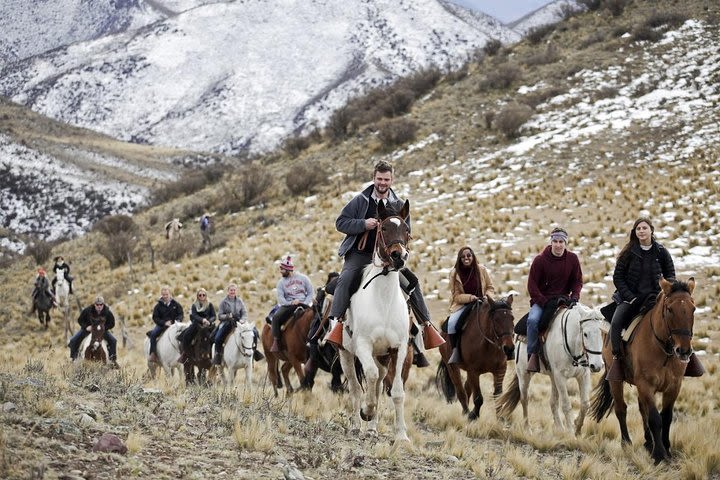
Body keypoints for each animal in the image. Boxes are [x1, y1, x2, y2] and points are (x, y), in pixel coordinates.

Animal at [338, 200, 410, 446]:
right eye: (384, 228)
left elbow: (396, 392)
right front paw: (366, 411)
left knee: (378, 385)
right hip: (346, 354)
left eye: (406, 229)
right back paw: (357, 425)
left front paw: (402, 435)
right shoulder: (362, 346)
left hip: (382, 357)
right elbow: (368, 376)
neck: (383, 302)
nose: (399, 256)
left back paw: (371, 429)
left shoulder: (399, 349)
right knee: (356, 387)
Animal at [436, 294, 516, 422]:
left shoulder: (500, 370)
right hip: (452, 368)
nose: (509, 349)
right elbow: (478, 398)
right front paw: (473, 416)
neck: (487, 344)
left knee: (466, 388)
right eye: (496, 319)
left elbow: (498, 395)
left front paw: (500, 418)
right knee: (460, 391)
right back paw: (466, 412)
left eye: (512, 318)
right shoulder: (474, 371)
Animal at [498, 304, 604, 436]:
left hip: (552, 378)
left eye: (602, 333)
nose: (597, 365)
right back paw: (528, 429)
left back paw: (560, 428)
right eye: (585, 334)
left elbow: (585, 404)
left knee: (553, 402)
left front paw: (577, 428)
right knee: (524, 399)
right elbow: (566, 405)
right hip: (524, 374)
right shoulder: (560, 377)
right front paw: (571, 433)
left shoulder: (583, 376)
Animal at [592, 278, 696, 464]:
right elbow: (655, 418)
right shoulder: (646, 385)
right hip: (615, 380)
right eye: (669, 309)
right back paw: (626, 443)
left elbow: (666, 417)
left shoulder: (674, 387)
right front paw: (659, 455)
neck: (663, 350)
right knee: (621, 409)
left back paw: (648, 442)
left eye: (693, 308)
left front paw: (666, 448)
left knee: (642, 409)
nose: (684, 351)